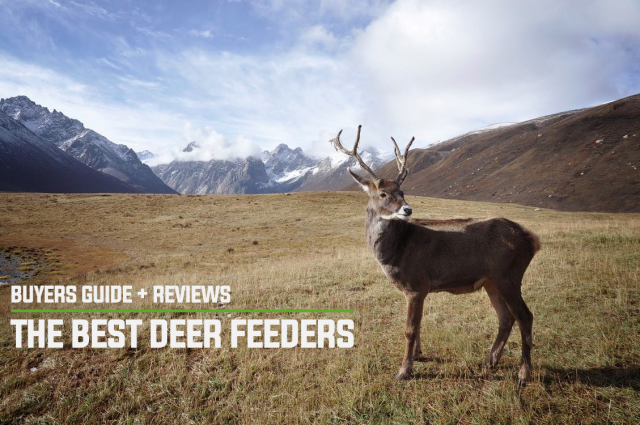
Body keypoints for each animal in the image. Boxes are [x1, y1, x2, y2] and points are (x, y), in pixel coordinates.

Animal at [331, 125, 540, 386]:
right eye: (383, 194)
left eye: (402, 190)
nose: (407, 209)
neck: (396, 251)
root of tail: (532, 239)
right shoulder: (418, 289)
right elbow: (418, 325)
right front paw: (419, 355)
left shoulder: (416, 284)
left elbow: (410, 329)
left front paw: (404, 370)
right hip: (492, 281)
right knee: (506, 318)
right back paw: (489, 362)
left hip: (509, 274)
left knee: (525, 316)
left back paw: (524, 374)